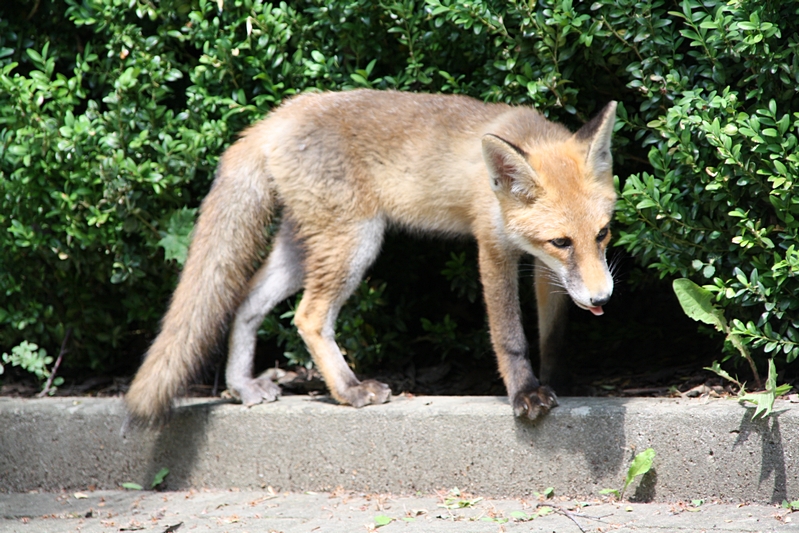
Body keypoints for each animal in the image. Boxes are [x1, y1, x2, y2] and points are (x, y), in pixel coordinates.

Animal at [125, 89, 617, 424]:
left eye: (602, 234)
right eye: (561, 241)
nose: (602, 300)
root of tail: (278, 116)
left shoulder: (545, 268)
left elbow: (553, 334)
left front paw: (558, 380)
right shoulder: (494, 250)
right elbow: (510, 337)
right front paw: (526, 394)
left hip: (303, 250)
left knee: (246, 302)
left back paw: (242, 386)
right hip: (355, 244)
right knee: (307, 317)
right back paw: (349, 390)